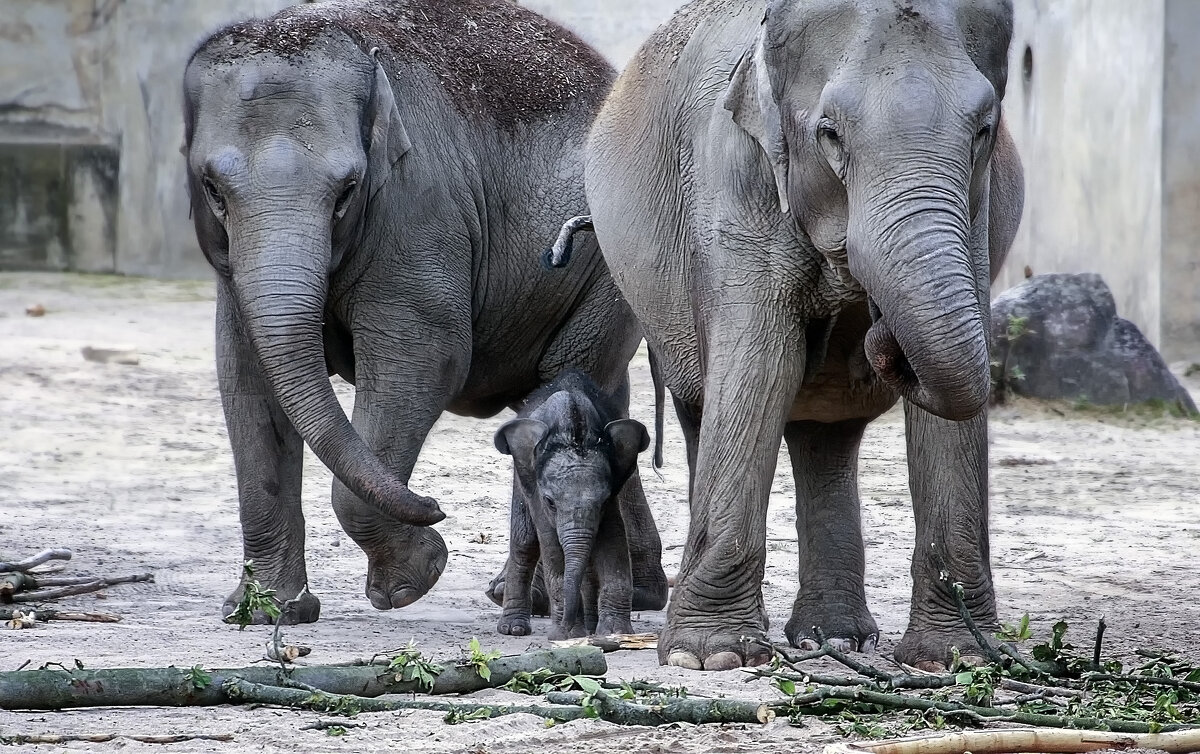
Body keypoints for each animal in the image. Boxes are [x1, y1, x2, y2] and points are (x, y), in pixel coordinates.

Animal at [494, 367, 652, 638]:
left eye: (604, 500)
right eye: (550, 502)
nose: (566, 627)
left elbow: (613, 540)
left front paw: (615, 633)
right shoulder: (535, 490)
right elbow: (551, 546)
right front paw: (567, 636)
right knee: (526, 542)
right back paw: (513, 629)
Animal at [561, 0, 1022, 672]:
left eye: (985, 129)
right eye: (829, 133)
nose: (877, 333)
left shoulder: (978, 205)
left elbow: (951, 402)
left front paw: (958, 658)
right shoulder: (735, 174)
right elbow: (761, 364)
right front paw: (708, 657)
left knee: (826, 434)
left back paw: (834, 639)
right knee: (709, 404)